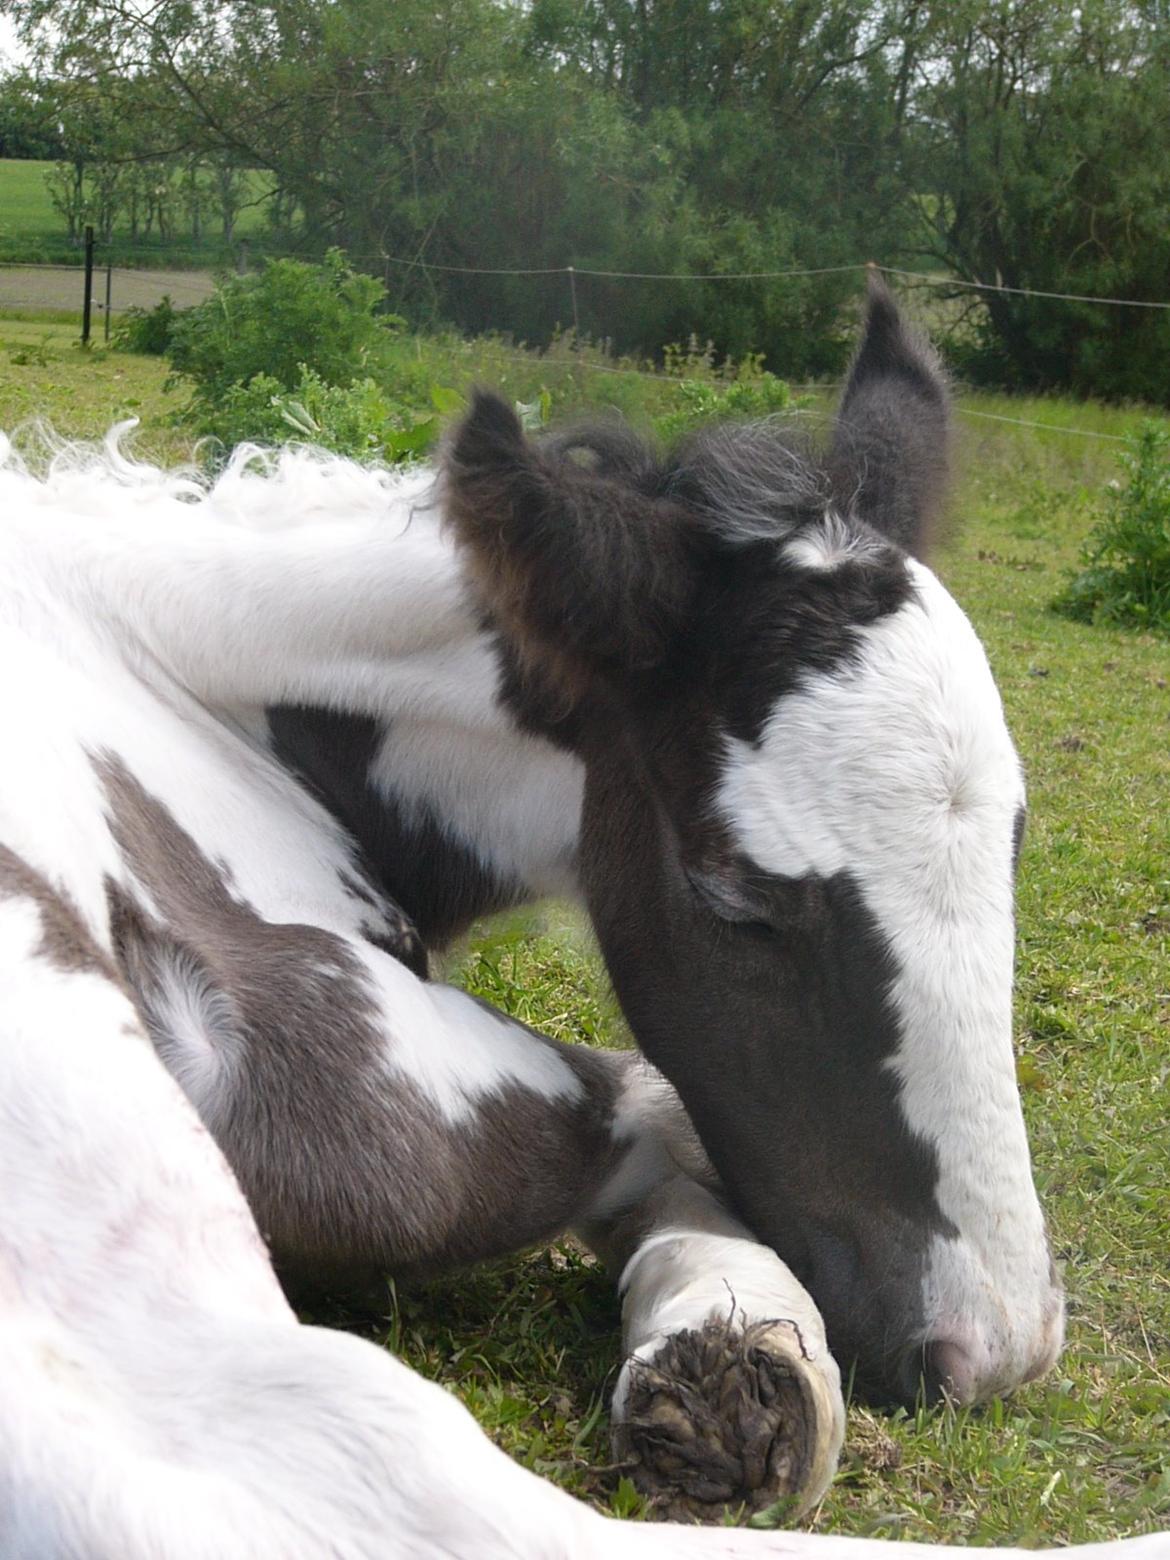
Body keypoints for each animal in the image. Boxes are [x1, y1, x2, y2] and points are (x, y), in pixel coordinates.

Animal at [0, 283, 1154, 1560]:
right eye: (734, 893)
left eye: (1012, 843)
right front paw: (741, 1344)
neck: (164, 671)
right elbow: (657, 1109)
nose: (990, 1347)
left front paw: (726, 1358)